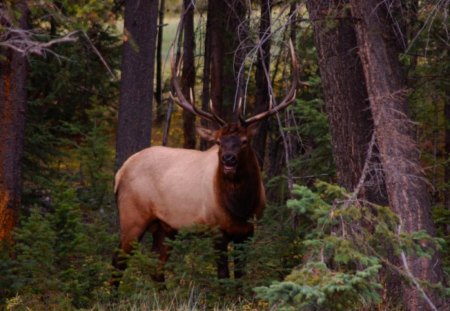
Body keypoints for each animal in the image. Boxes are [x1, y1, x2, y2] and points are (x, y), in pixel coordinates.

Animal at [111, 40, 298, 286]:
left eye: (244, 141)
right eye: (219, 142)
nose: (228, 159)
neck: (240, 207)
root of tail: (120, 172)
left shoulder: (248, 231)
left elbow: (240, 276)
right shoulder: (216, 229)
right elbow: (222, 276)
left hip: (166, 227)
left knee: (157, 268)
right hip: (132, 216)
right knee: (118, 262)